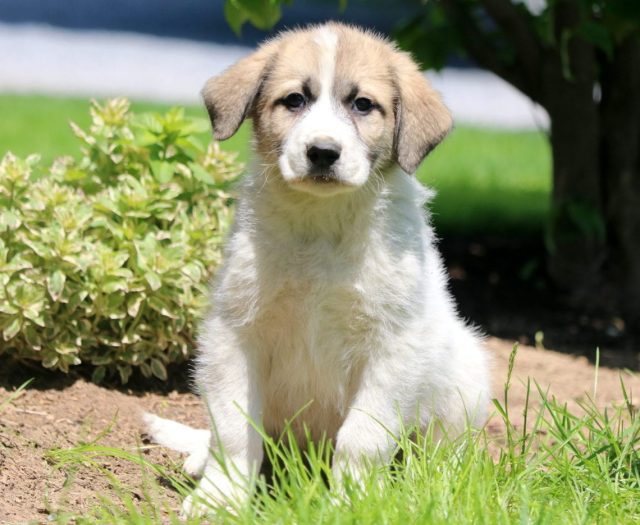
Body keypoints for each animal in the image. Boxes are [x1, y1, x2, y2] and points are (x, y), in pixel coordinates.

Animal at [146, 21, 490, 516]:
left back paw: (436, 484)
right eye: (294, 100)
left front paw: (354, 501)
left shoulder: (392, 344)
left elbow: (363, 436)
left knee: (444, 449)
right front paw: (221, 496)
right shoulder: (236, 332)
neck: (322, 221)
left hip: (466, 372)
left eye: (362, 104)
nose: (323, 152)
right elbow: (233, 428)